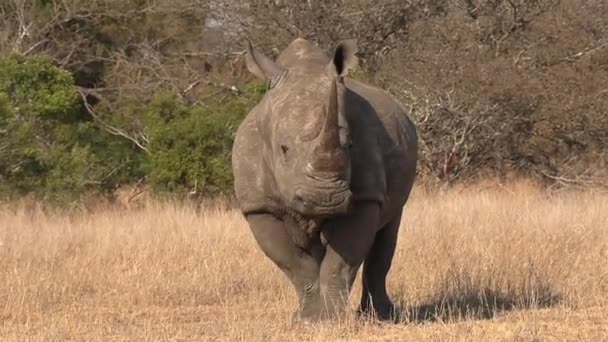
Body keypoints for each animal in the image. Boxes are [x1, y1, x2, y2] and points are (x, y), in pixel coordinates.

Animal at [229, 38, 418, 324]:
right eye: (283, 149)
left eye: (349, 145)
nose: (325, 198)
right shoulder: (258, 206)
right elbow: (295, 264)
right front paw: (307, 320)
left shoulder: (365, 196)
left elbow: (341, 260)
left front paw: (329, 319)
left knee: (389, 227)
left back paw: (380, 317)